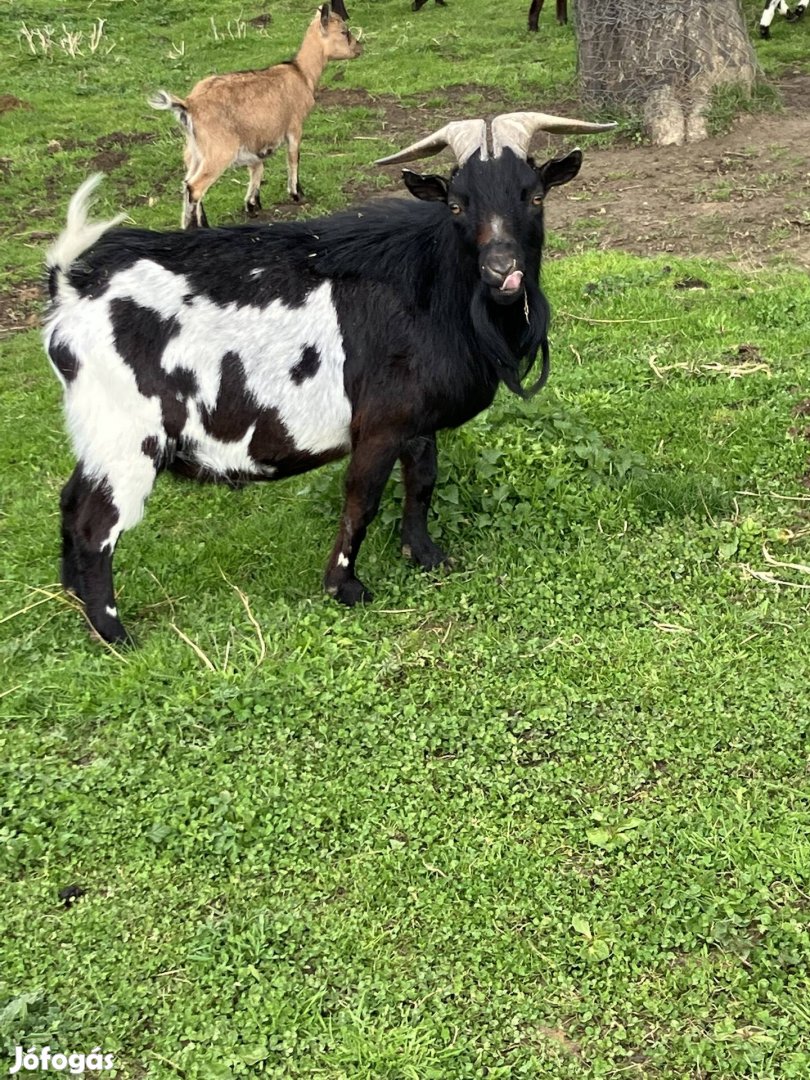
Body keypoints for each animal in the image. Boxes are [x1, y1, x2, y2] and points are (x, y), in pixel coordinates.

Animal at [44, 111, 613, 639]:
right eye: (456, 204)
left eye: (534, 196)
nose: (502, 271)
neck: (428, 284)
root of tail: (71, 286)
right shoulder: (380, 425)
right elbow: (362, 497)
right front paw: (345, 586)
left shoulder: (416, 421)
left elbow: (422, 481)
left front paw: (426, 555)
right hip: (128, 438)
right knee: (95, 524)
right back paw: (114, 632)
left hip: (99, 436)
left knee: (70, 501)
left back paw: (74, 598)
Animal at [147, 3, 360, 227]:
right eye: (344, 31)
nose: (359, 48)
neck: (301, 74)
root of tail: (189, 105)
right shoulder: (294, 126)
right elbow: (293, 157)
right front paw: (296, 194)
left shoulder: (256, 141)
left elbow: (257, 166)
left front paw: (252, 204)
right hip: (219, 151)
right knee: (195, 187)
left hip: (194, 151)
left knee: (187, 182)